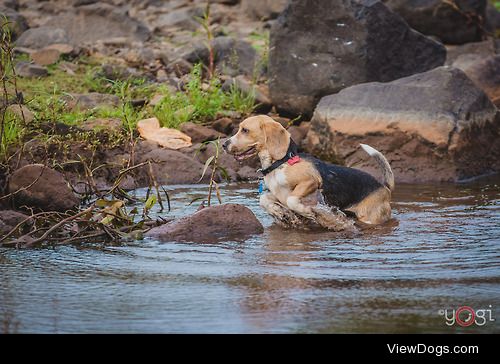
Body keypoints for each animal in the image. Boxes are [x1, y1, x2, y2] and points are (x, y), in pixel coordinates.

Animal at [224, 115, 394, 229]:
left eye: (245, 130)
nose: (224, 145)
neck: (281, 163)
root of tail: (384, 186)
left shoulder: (310, 182)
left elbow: (292, 200)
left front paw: (307, 211)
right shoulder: (278, 194)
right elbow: (264, 199)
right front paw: (280, 213)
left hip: (369, 218)